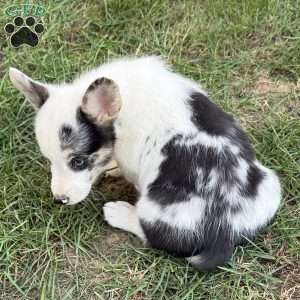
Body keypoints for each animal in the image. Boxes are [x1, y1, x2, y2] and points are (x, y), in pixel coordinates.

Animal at [9, 56, 282, 270]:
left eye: (77, 161)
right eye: (49, 160)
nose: (59, 200)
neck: (121, 108)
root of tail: (225, 231)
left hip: (154, 207)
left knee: (153, 235)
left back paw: (119, 212)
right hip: (272, 185)